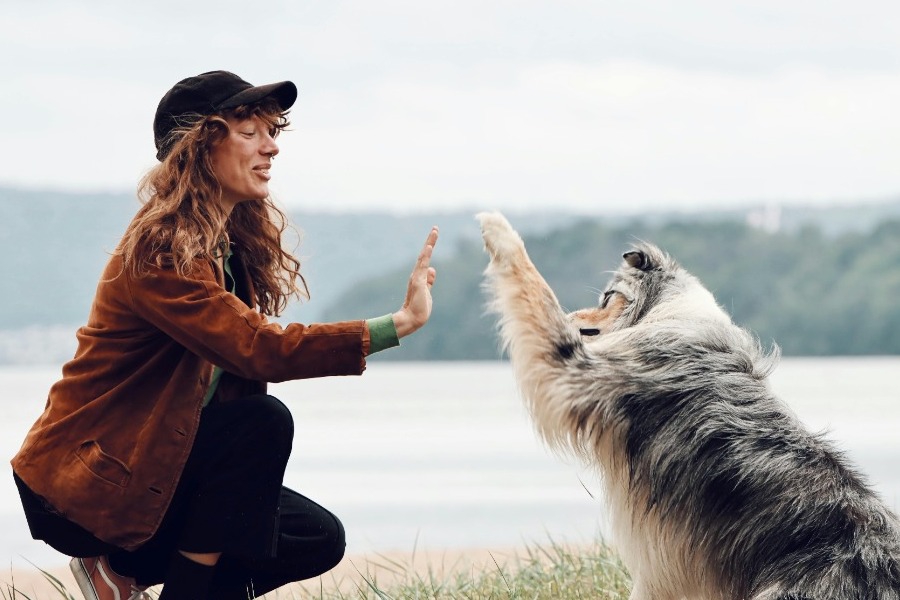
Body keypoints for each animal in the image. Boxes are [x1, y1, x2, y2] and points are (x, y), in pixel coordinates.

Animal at [478, 211, 900, 600]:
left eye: (608, 298)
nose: (572, 318)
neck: (671, 310)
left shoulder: (575, 369)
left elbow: (535, 291)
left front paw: (498, 230)